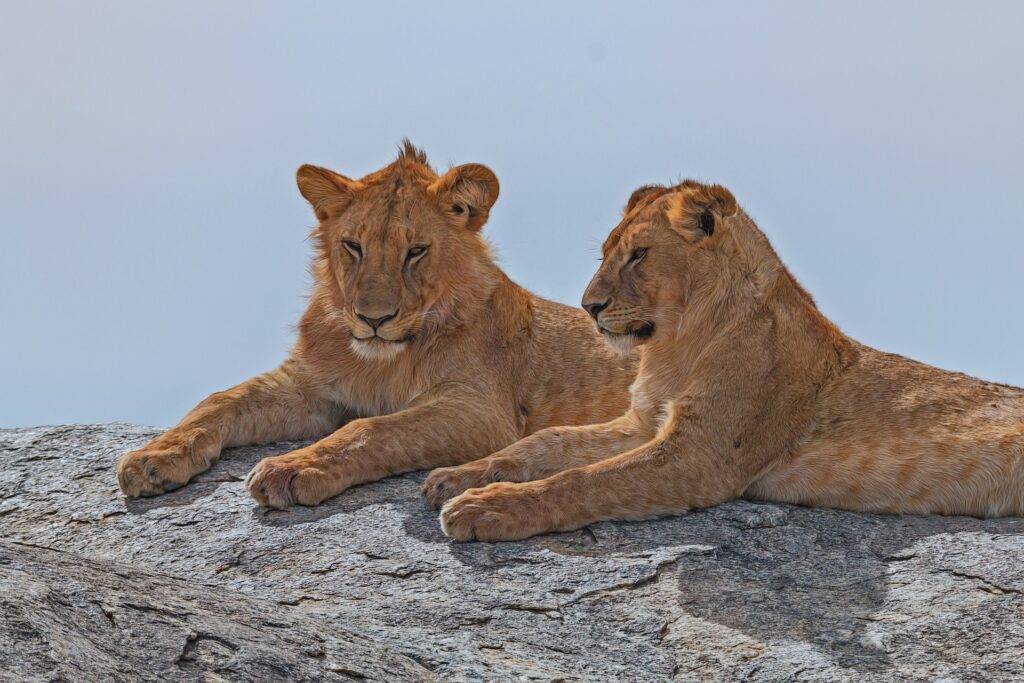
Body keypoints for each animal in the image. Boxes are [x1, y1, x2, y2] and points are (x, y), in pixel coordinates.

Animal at [116, 142, 636, 507]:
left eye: (416, 251)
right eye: (354, 246)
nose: (373, 319)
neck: (380, 361)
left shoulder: (483, 411)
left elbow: (371, 429)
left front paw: (291, 468)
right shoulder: (310, 388)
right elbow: (220, 399)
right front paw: (153, 457)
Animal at [427, 179, 1024, 541]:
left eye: (639, 255)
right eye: (605, 255)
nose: (588, 306)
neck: (676, 345)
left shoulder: (701, 455)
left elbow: (583, 481)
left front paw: (487, 508)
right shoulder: (642, 423)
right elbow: (544, 443)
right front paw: (458, 475)